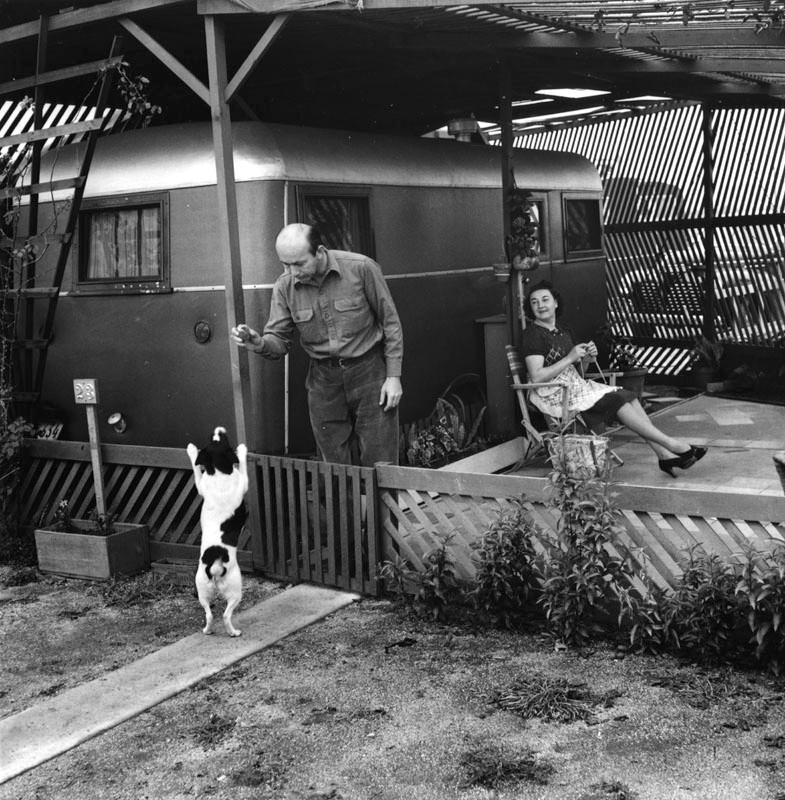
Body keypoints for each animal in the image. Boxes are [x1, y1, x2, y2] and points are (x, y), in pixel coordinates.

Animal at [185, 424, 247, 636]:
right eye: (221, 439)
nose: (219, 428)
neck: (220, 470)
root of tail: (215, 563)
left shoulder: (201, 486)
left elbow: (196, 468)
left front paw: (192, 450)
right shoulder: (243, 483)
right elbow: (242, 465)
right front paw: (243, 450)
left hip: (202, 590)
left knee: (209, 614)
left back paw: (208, 630)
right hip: (236, 590)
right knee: (226, 615)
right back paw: (234, 632)